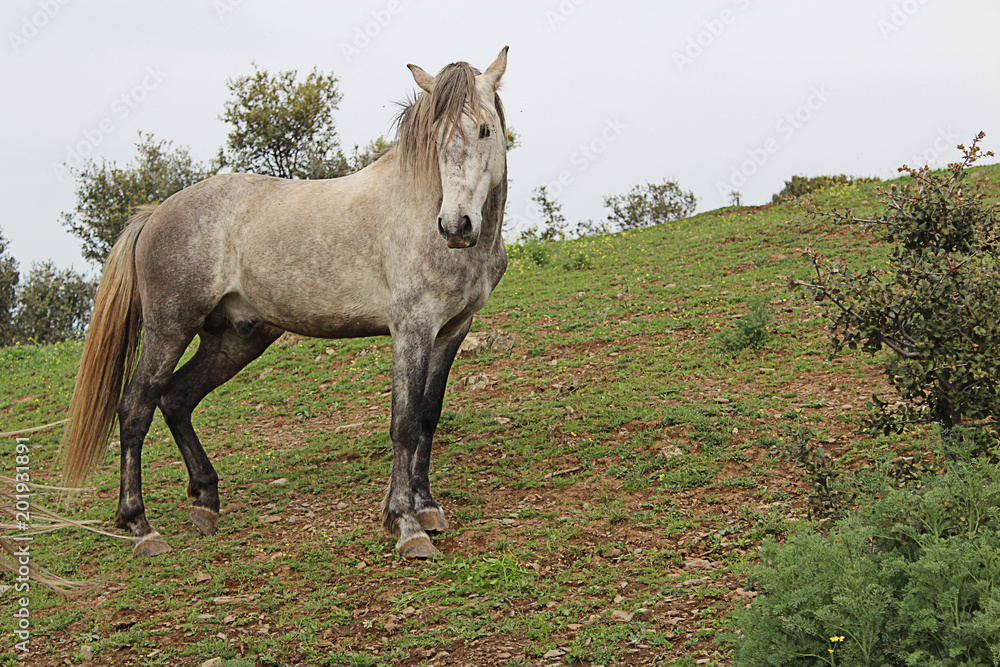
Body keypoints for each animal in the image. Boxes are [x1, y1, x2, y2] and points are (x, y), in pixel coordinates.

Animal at [59, 45, 512, 560]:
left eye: (485, 129)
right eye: (436, 136)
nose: (456, 225)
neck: (420, 211)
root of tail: (156, 213)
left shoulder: (451, 330)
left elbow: (429, 417)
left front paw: (429, 509)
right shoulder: (411, 329)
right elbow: (404, 423)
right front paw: (405, 525)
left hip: (236, 340)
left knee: (176, 398)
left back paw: (206, 502)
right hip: (168, 328)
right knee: (136, 408)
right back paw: (141, 526)